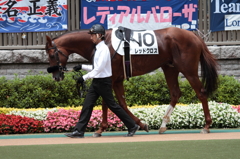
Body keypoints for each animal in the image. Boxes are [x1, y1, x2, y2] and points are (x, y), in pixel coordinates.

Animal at [45, 26, 219, 136]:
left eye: (52, 55)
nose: (56, 76)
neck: (104, 43)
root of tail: (194, 36)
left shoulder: (111, 78)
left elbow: (108, 103)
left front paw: (101, 129)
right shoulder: (116, 80)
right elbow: (119, 103)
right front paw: (139, 125)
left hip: (188, 70)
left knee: (201, 93)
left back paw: (206, 125)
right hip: (170, 68)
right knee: (175, 93)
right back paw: (163, 125)